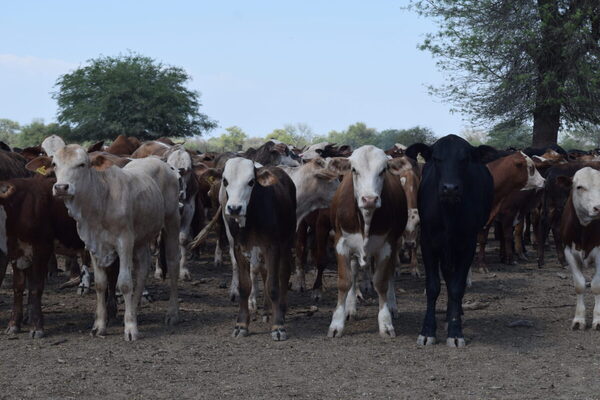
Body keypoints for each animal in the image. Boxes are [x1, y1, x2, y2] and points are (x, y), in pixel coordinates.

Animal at [328, 145, 408, 338]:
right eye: (354, 170)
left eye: (383, 170)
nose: (370, 199)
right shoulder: (341, 244)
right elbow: (345, 281)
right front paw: (337, 322)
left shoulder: (387, 245)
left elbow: (381, 282)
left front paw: (385, 322)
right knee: (354, 272)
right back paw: (351, 308)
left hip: (396, 242)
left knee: (391, 273)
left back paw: (392, 306)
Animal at [406, 134, 494, 346]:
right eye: (437, 159)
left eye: (465, 159)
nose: (450, 188)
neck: (449, 213)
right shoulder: (428, 243)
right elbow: (433, 287)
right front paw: (427, 331)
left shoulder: (467, 244)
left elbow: (456, 287)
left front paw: (455, 331)